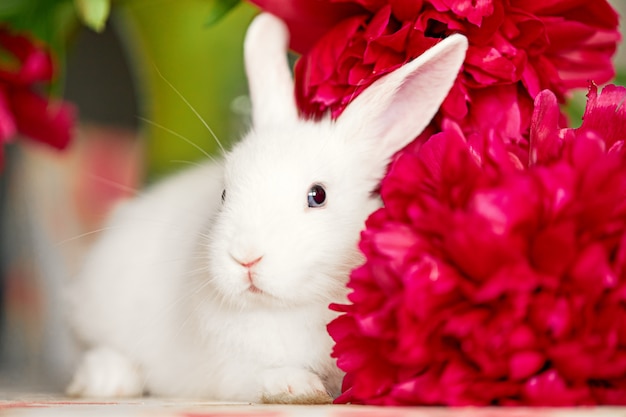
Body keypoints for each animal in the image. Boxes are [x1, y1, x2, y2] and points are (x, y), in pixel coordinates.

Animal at [66, 13, 466, 404]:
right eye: (224, 193)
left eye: (317, 195)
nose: (245, 257)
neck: (289, 306)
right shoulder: (230, 372)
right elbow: (262, 376)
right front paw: (298, 388)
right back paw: (109, 379)